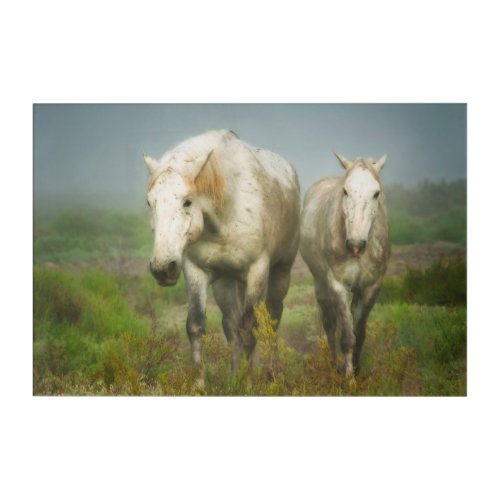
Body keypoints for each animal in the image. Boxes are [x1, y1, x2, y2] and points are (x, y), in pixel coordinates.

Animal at [145, 131, 300, 374]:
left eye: (187, 201)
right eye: (150, 202)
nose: (163, 268)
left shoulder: (257, 271)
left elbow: (250, 330)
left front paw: (247, 380)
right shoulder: (196, 271)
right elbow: (196, 326)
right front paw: (206, 381)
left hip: (281, 271)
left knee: (273, 319)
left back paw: (273, 373)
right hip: (225, 282)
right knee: (231, 325)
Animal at [298, 154, 388, 376]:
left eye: (376, 193)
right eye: (345, 191)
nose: (355, 245)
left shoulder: (371, 287)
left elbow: (359, 335)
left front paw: (356, 370)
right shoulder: (338, 286)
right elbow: (347, 338)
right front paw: (348, 377)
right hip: (321, 285)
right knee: (330, 325)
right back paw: (333, 365)